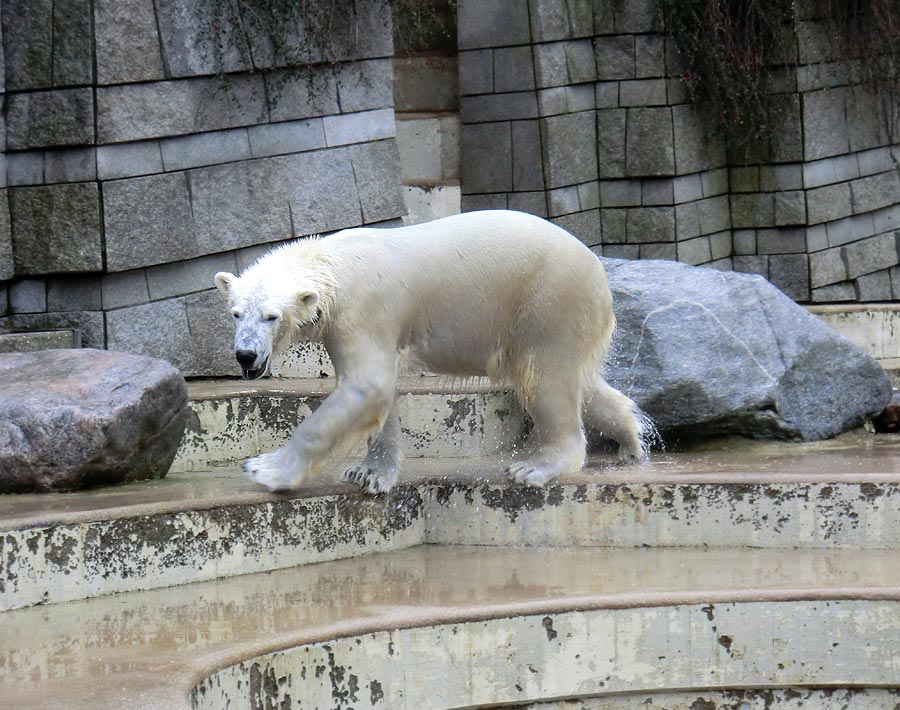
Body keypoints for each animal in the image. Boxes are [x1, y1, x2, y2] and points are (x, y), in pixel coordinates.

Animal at [214, 209, 644, 492]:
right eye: (235, 313)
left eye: (271, 316)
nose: (245, 355)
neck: (333, 266)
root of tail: (599, 273)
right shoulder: (345, 327)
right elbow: (377, 393)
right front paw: (368, 474)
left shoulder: (363, 311)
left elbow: (366, 387)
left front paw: (266, 469)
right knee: (579, 382)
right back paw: (631, 439)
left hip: (548, 301)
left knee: (545, 379)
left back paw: (536, 467)